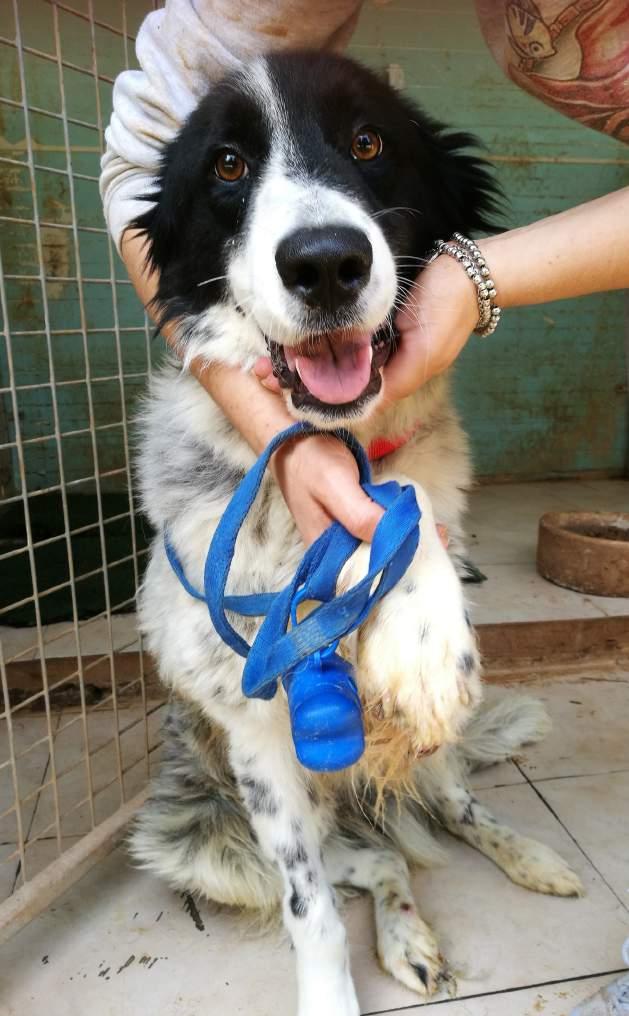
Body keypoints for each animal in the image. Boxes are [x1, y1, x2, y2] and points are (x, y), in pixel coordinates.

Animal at [130, 53, 581, 1016]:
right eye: (227, 165)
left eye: (369, 141)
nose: (326, 263)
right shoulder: (258, 743)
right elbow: (313, 915)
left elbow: (397, 488)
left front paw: (421, 630)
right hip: (200, 836)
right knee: (372, 865)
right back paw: (406, 936)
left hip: (431, 755)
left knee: (452, 809)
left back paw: (531, 858)